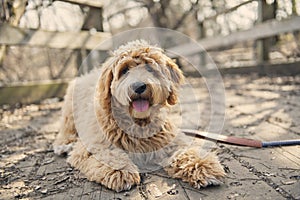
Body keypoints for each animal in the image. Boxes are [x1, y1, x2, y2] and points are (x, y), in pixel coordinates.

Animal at [52, 40, 224, 192]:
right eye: (124, 70)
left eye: (150, 69)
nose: (139, 86)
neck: (138, 123)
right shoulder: (92, 145)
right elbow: (107, 154)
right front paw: (120, 171)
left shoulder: (170, 140)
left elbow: (187, 151)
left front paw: (203, 166)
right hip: (69, 112)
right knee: (66, 129)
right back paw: (64, 144)